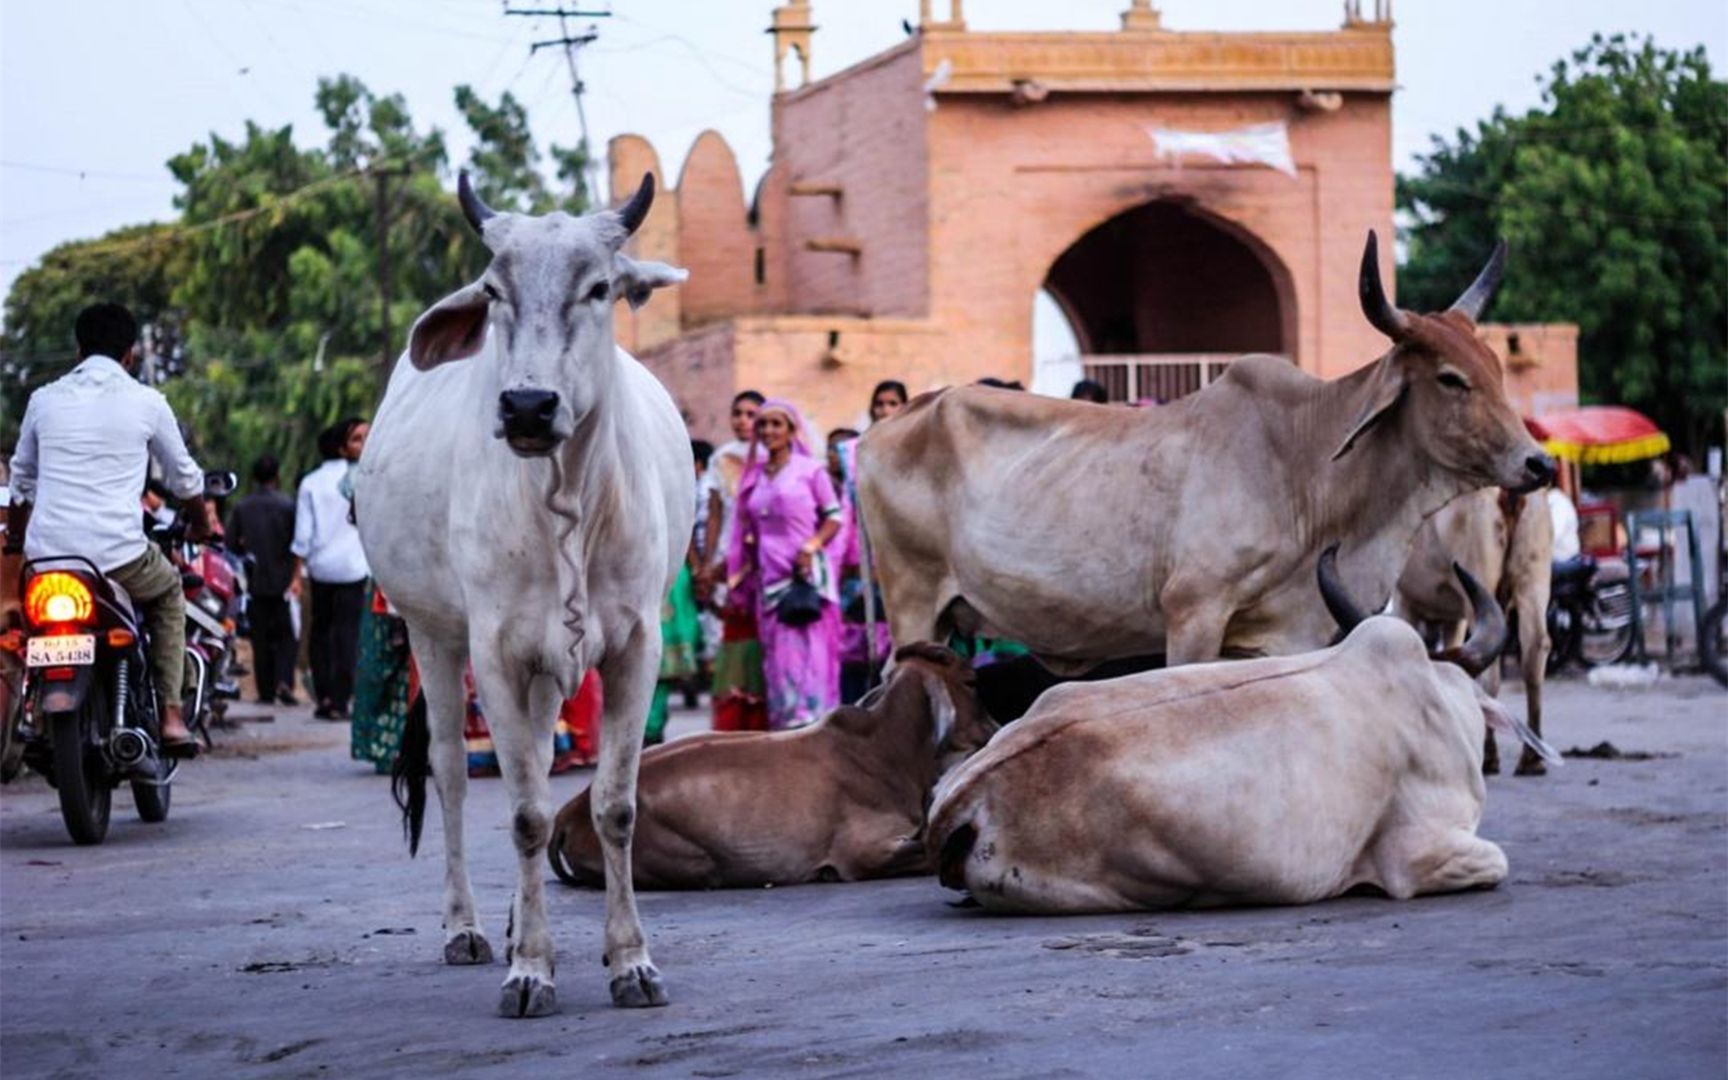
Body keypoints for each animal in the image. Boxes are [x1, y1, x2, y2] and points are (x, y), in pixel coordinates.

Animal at [354, 172, 691, 1016]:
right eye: (494, 291)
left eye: (600, 287)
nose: (528, 406)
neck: (567, 500)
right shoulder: (497, 652)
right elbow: (528, 813)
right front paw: (531, 970)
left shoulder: (636, 648)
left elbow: (613, 805)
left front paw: (630, 961)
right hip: (433, 634)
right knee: (451, 770)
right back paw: (469, 928)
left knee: (537, 756)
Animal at [546, 642, 995, 891]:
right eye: (972, 680)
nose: (994, 728)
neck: (885, 749)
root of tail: (570, 810)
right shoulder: (866, 853)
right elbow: (932, 858)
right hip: (697, 864)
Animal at [1396, 487, 1562, 774]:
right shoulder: (1453, 615)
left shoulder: (1404, 598)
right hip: (1535, 573)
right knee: (1535, 649)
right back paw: (1532, 757)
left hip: (1478, 566)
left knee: (1492, 672)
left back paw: (1489, 754)